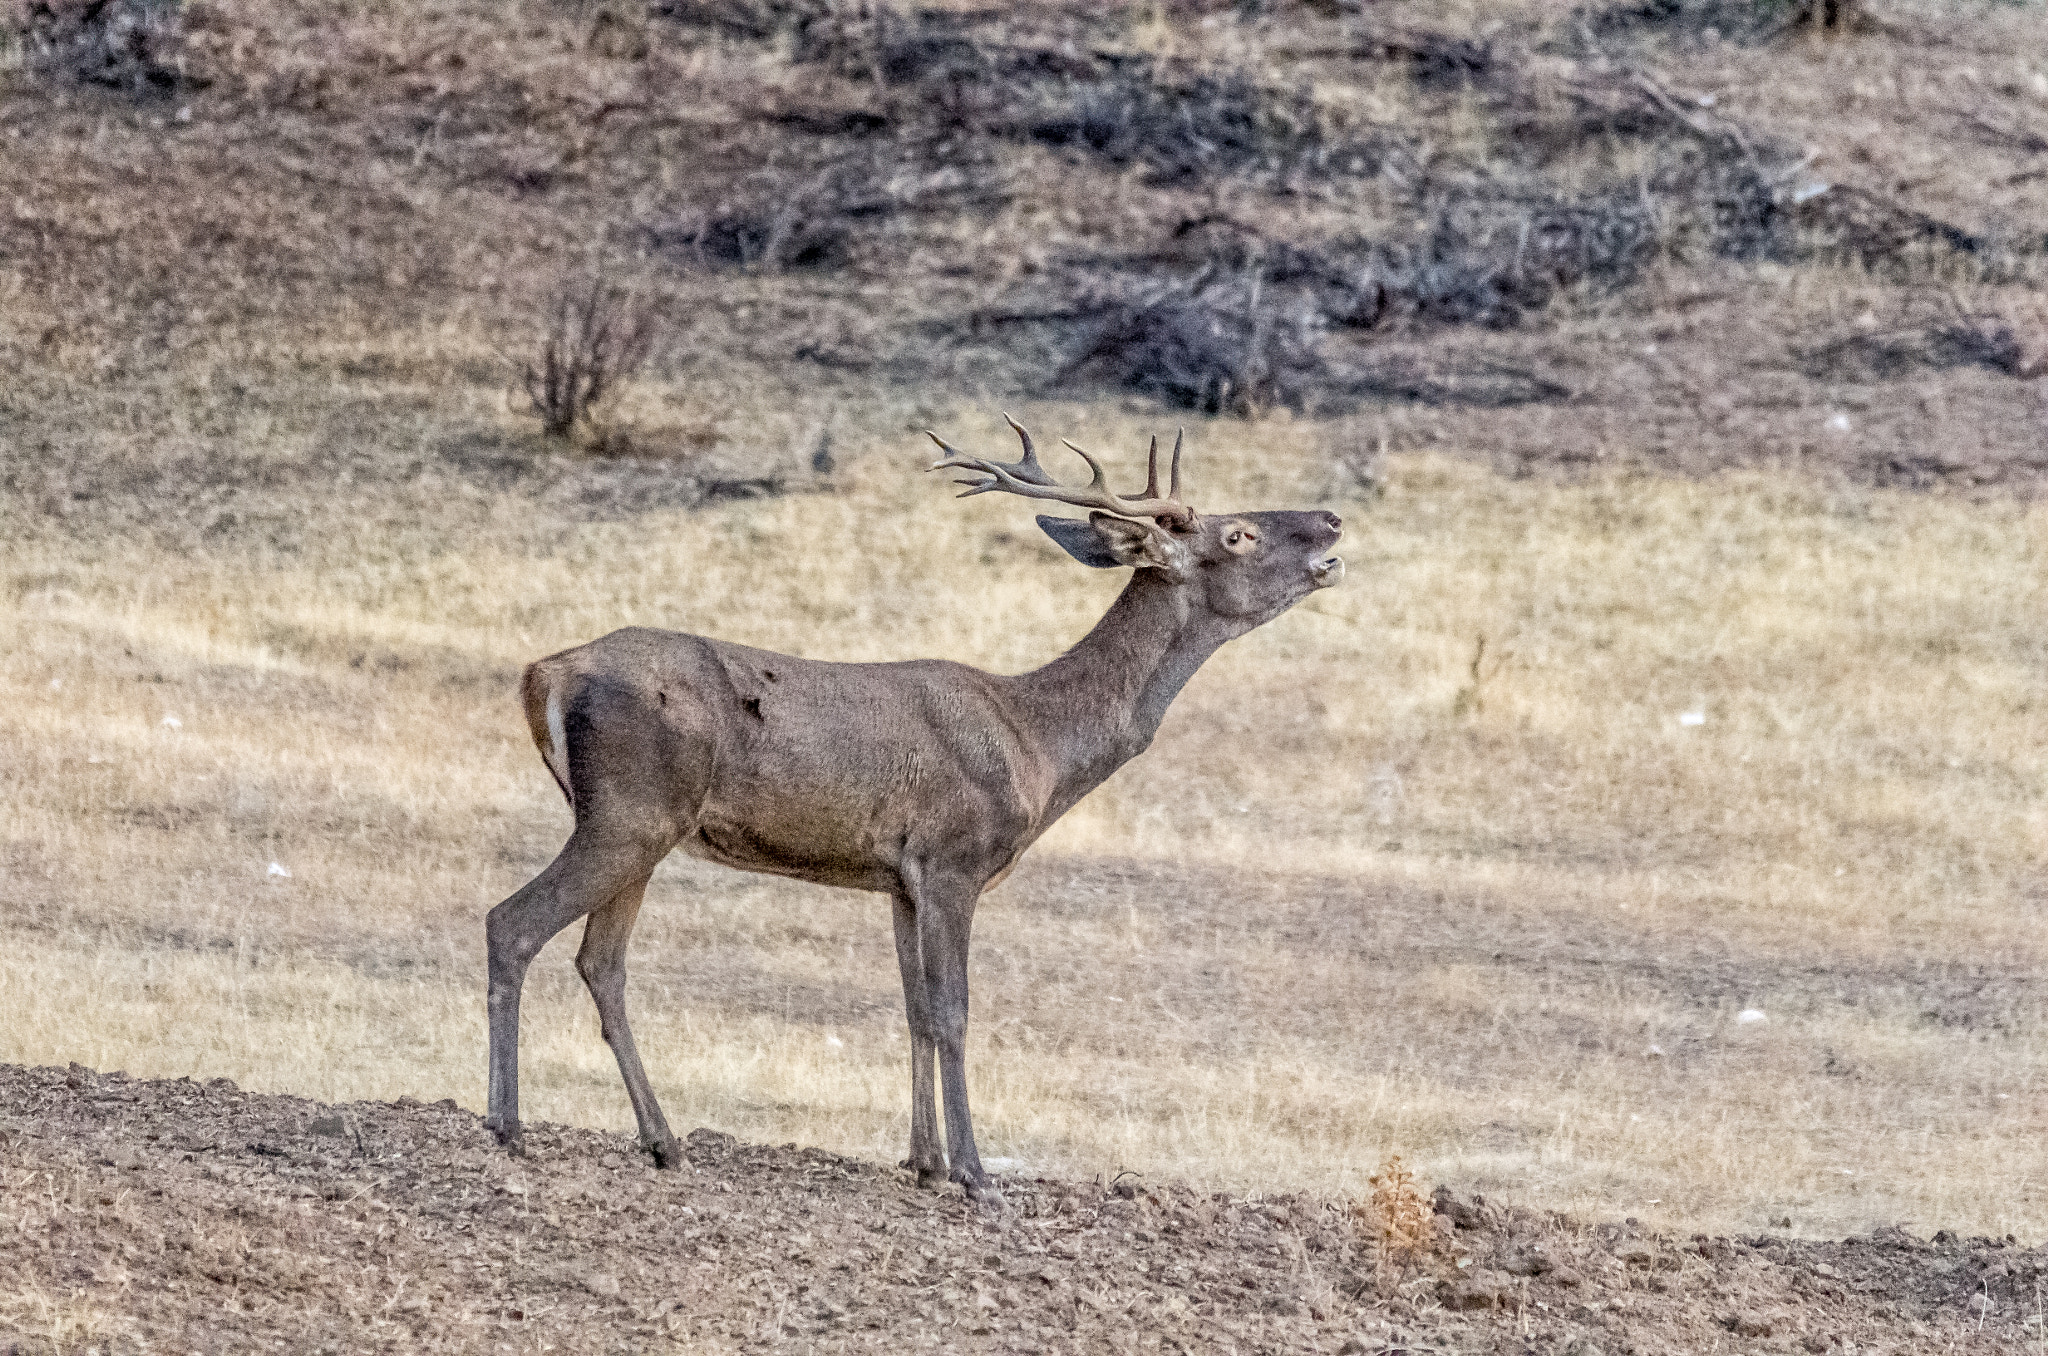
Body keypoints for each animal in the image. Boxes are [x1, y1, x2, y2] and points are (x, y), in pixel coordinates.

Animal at [481, 419, 1343, 1204]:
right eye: (1239, 533)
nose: (1332, 521)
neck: (1038, 743)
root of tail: (542, 674)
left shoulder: (899, 879)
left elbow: (915, 1011)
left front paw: (924, 1161)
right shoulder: (955, 857)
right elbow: (955, 1011)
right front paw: (975, 1175)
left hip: (644, 829)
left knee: (601, 963)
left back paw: (661, 1141)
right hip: (629, 813)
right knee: (511, 923)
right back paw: (507, 1123)